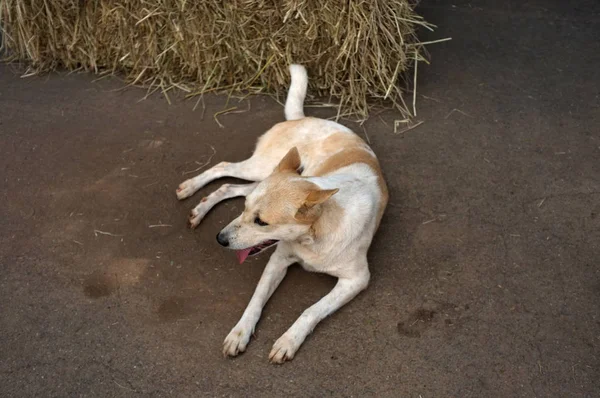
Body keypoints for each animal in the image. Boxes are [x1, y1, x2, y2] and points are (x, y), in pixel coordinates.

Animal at [177, 66, 390, 364]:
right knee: (223, 167)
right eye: (246, 212)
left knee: (229, 186)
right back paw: (191, 189)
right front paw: (240, 333)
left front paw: (289, 340)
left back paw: (200, 207)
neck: (314, 237)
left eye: (261, 222)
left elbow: (311, 310)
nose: (219, 239)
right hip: (261, 167)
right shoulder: (277, 261)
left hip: (263, 175)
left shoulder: (356, 280)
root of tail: (302, 118)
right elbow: (255, 300)